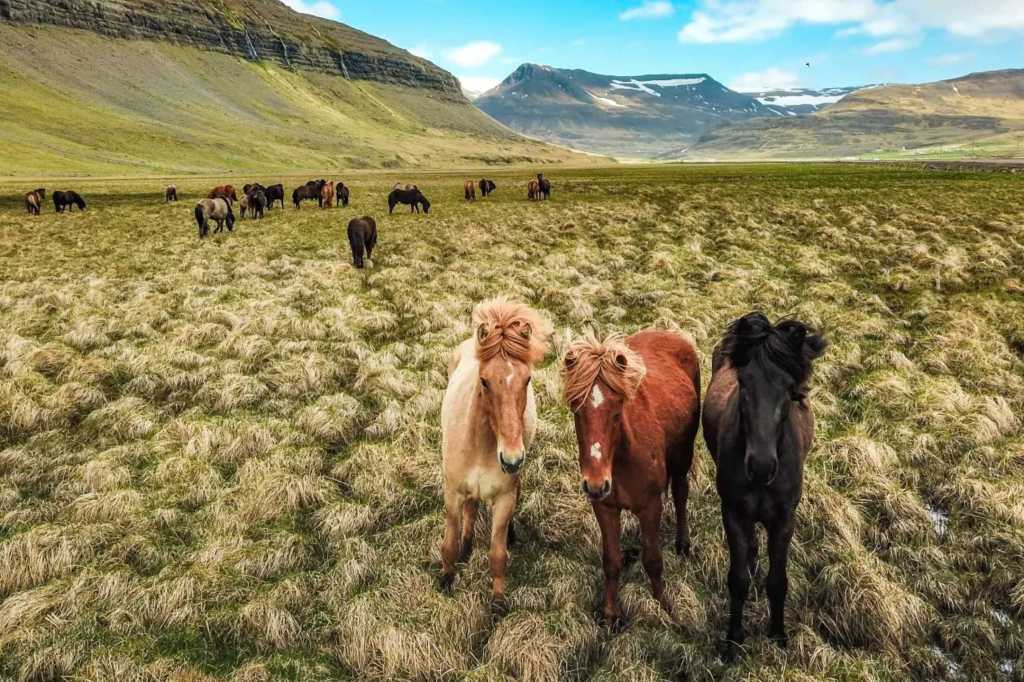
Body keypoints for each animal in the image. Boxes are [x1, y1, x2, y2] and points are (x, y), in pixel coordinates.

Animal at [440, 296, 552, 610]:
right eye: (485, 381)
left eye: (527, 379)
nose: (511, 459)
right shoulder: (452, 492)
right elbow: (449, 543)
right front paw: (446, 580)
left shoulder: (503, 499)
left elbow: (498, 554)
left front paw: (499, 601)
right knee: (470, 507)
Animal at [561, 327, 704, 626]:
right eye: (576, 409)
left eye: (617, 410)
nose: (595, 484)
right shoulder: (605, 507)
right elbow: (611, 561)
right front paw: (610, 614)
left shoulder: (650, 506)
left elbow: (653, 560)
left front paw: (663, 607)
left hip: (683, 456)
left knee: (681, 493)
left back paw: (683, 544)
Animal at [704, 311, 831, 655]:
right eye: (743, 382)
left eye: (789, 389)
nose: (761, 466)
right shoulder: (734, 513)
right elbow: (737, 579)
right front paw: (733, 639)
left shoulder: (784, 519)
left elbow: (778, 581)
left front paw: (778, 634)